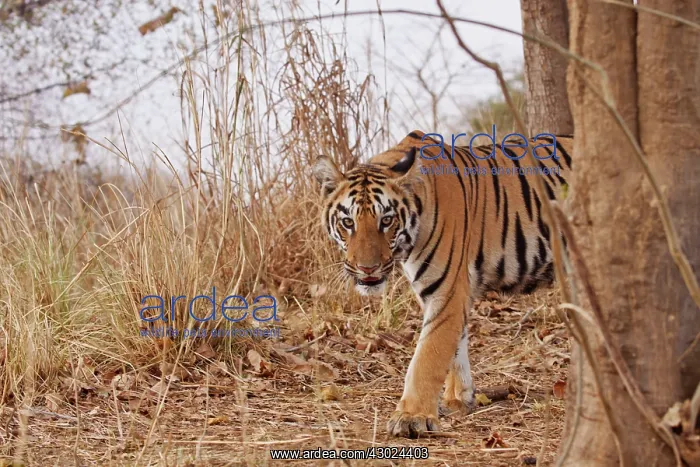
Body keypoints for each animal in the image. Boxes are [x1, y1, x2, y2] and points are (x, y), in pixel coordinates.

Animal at [312, 130, 572, 438]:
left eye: (386, 220)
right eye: (348, 222)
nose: (368, 268)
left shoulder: (447, 290)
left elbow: (428, 355)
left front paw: (411, 417)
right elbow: (455, 346)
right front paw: (458, 399)